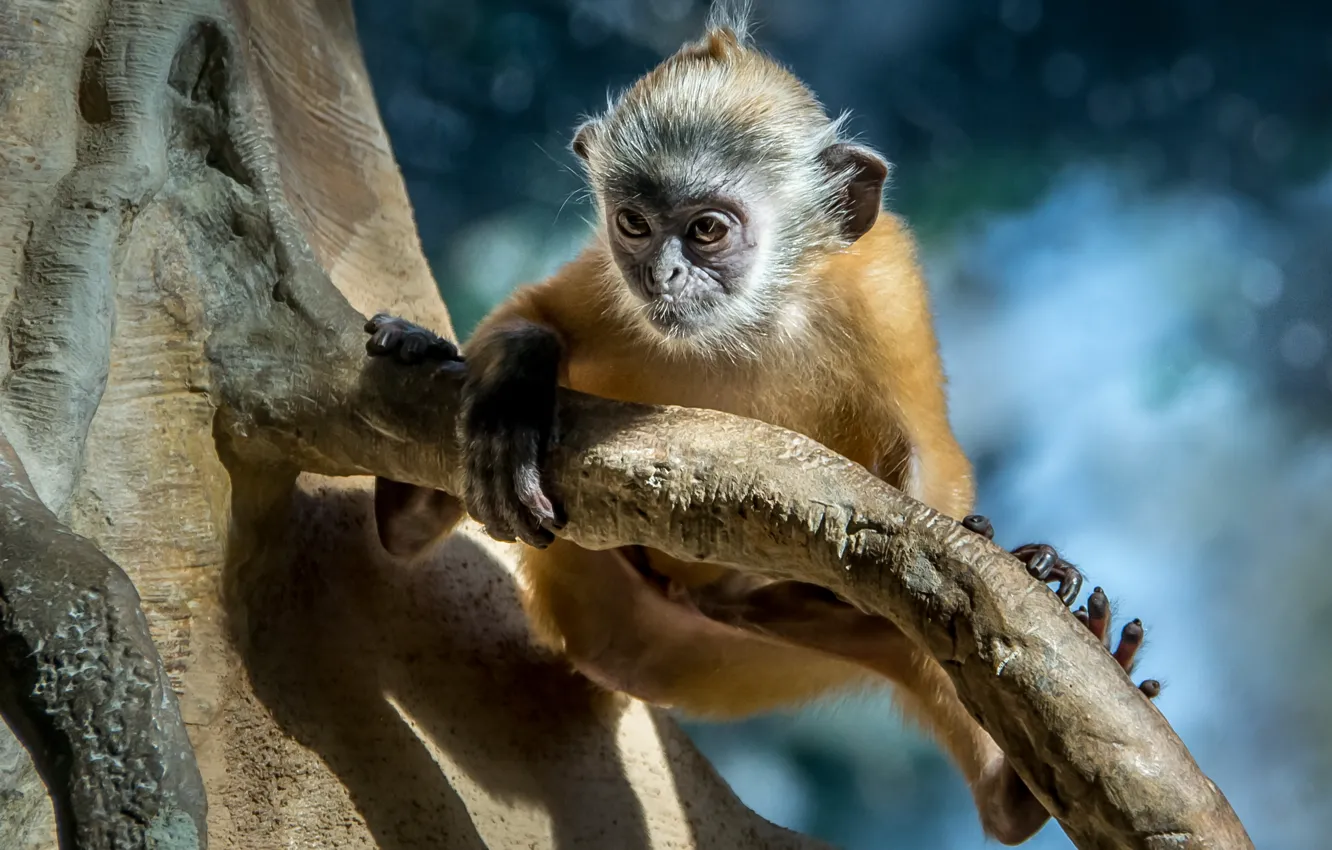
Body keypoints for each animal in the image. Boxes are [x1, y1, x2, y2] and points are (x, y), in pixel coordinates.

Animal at [364, 8, 1159, 844]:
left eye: (707, 231)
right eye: (634, 223)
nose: (663, 276)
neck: (749, 323)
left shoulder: (882, 285)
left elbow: (929, 479)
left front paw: (1014, 552)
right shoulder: (605, 279)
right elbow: (530, 319)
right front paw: (511, 401)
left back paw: (1016, 781)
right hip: (594, 575)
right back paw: (410, 479)